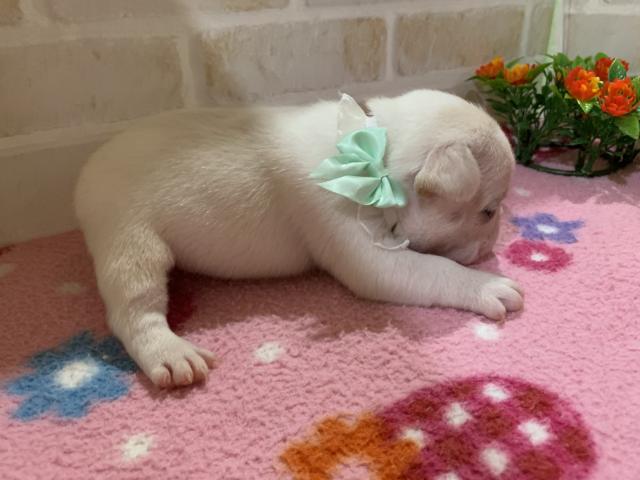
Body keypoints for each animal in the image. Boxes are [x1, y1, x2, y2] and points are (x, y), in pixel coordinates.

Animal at [75, 89, 523, 388]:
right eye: (487, 211)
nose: (490, 250)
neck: (374, 150)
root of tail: (83, 176)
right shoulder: (360, 243)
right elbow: (430, 269)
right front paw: (488, 285)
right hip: (129, 238)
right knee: (134, 308)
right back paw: (170, 353)